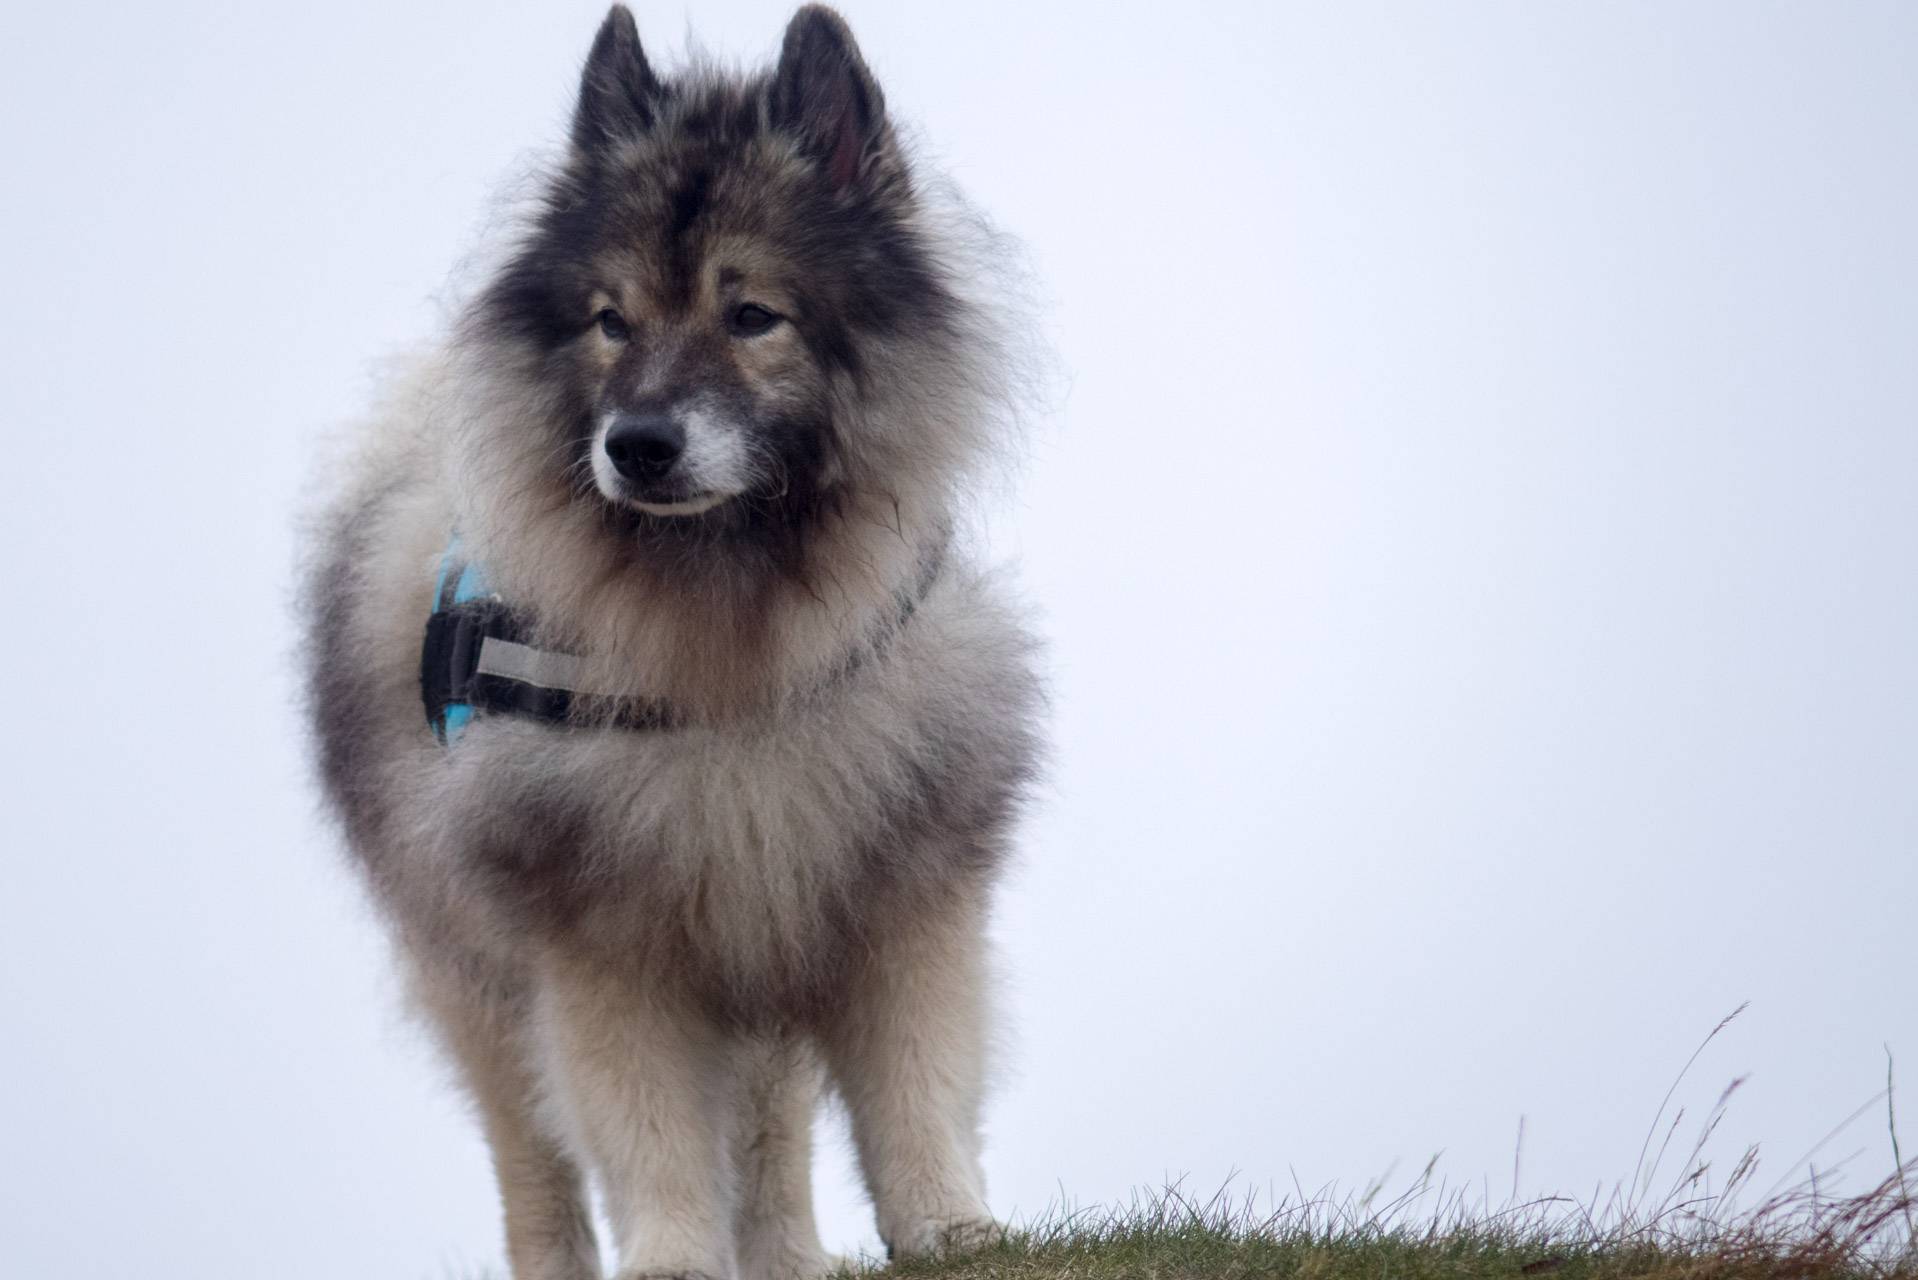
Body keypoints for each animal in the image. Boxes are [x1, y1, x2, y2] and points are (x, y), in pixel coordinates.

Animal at [304, 10, 1043, 1280]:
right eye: (612, 320)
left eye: (751, 315)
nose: (637, 443)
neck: (728, 641)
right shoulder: (602, 941)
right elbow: (639, 1121)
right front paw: (671, 1254)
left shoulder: (890, 891)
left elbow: (917, 1087)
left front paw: (954, 1229)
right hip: (473, 971)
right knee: (533, 1158)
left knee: (769, 1131)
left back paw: (791, 1256)